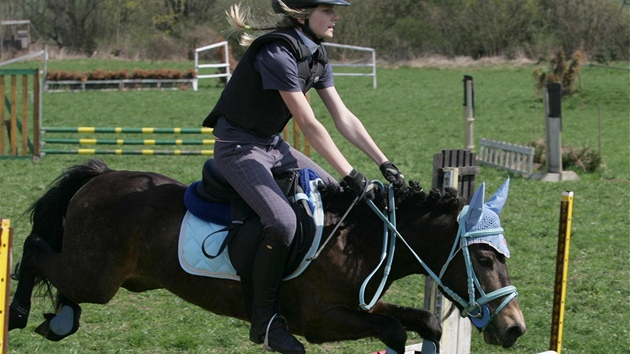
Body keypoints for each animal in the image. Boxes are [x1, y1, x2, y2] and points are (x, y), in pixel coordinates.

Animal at [8, 160, 528, 354]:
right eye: (485, 260)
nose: (515, 329)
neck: (360, 237)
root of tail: (102, 175)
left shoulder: (360, 304)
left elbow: (427, 322)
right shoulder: (321, 320)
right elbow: (396, 330)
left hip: (98, 275)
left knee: (61, 278)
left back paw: (61, 318)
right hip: (97, 276)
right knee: (34, 251)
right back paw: (20, 313)